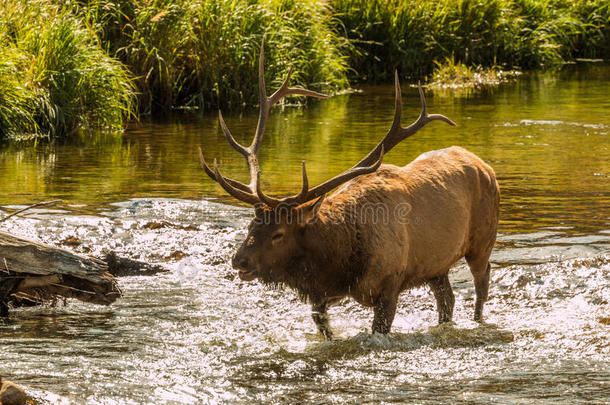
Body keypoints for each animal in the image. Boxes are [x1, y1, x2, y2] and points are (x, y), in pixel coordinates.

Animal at [200, 41, 498, 338]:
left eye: (278, 234)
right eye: (251, 225)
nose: (239, 261)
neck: (341, 259)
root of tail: (485, 165)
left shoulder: (390, 285)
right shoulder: (326, 292)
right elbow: (322, 326)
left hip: (483, 240)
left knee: (482, 282)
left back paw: (478, 320)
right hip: (436, 266)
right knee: (447, 298)